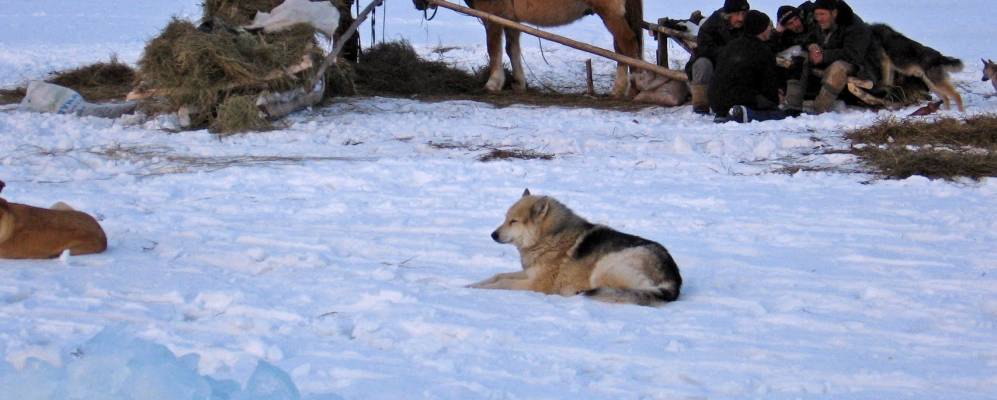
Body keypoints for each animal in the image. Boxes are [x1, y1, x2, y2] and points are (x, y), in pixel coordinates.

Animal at [414, 0, 640, 97]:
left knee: (627, 43)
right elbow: (511, 49)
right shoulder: (510, 19)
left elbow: (493, 49)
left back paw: (629, 86)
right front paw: (518, 83)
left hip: (610, 13)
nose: (418, 4)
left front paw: (493, 83)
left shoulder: (492, 17)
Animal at [470, 190, 680, 306]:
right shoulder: (529, 273)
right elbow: (498, 276)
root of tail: (674, 281)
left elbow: (502, 283)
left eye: (514, 221)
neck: (549, 237)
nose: (493, 234)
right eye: (505, 219)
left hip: (604, 267)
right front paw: (472, 285)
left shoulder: (536, 285)